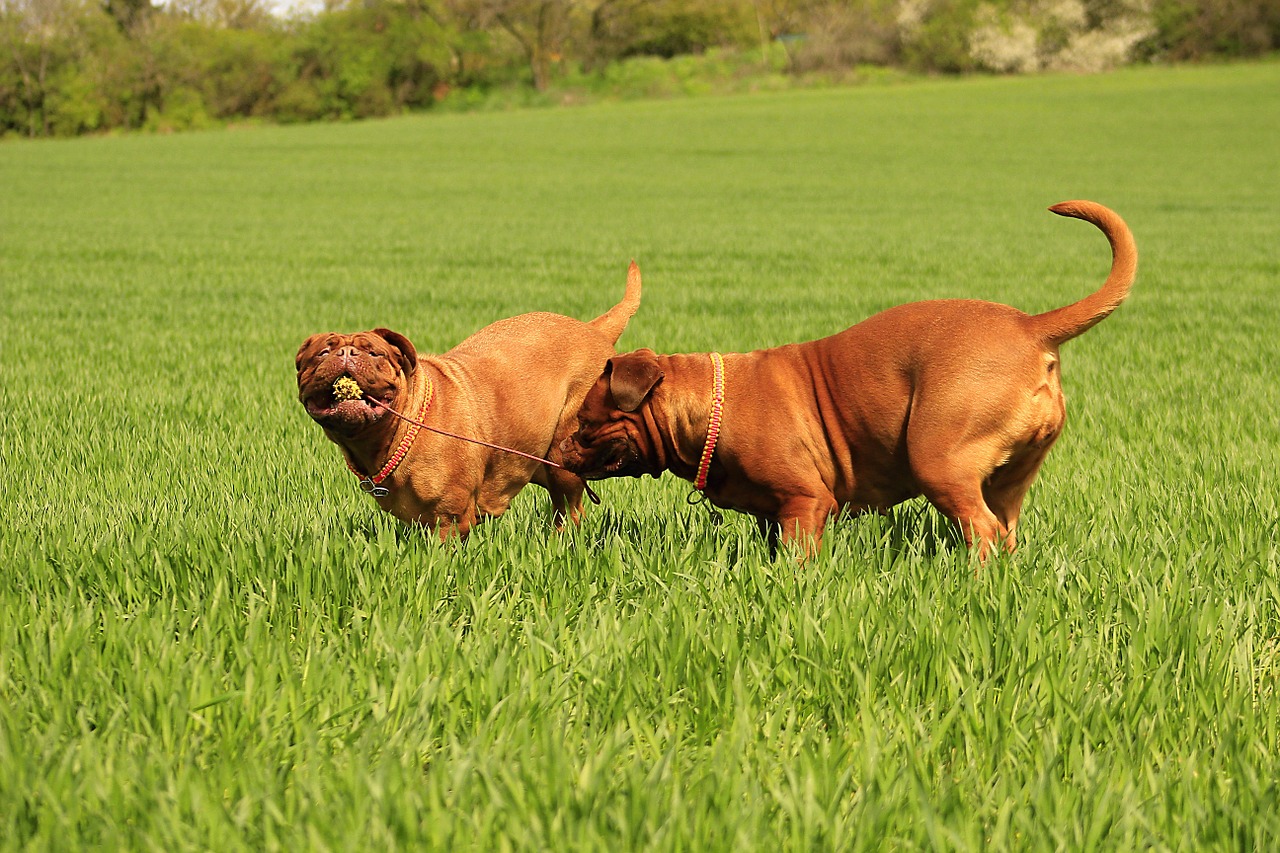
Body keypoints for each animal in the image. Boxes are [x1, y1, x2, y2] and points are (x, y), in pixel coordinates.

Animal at [296, 262, 640, 535]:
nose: (345, 353)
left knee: (568, 510)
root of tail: (594, 329)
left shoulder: (450, 518)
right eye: (322, 353)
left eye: (374, 353)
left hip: (562, 453)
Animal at [563, 199, 1141, 558]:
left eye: (586, 422)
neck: (708, 406)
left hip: (939, 459)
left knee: (982, 532)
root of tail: (1031, 327)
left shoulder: (805, 504)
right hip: (1009, 479)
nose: (561, 446)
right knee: (1006, 530)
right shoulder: (773, 514)